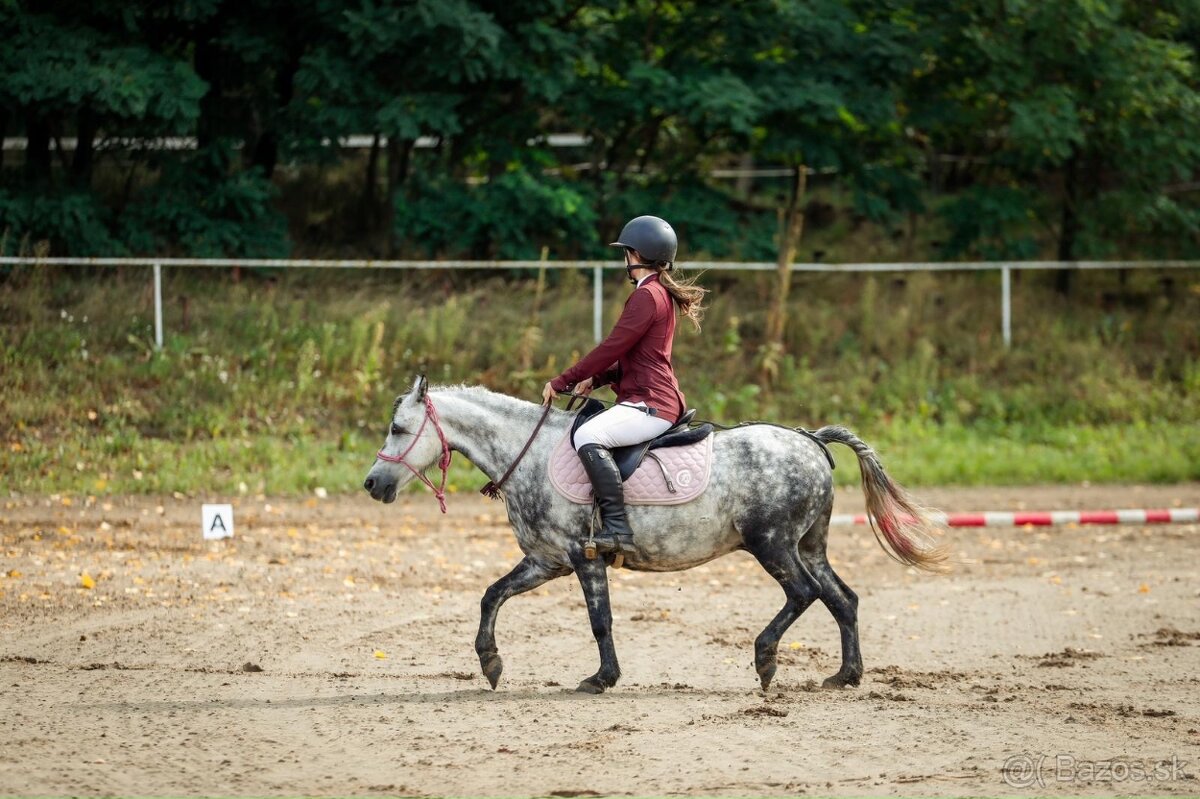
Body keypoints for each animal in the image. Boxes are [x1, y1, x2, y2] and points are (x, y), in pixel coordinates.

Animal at [363, 376, 947, 694]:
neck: (527, 453)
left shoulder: (582, 557)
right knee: (842, 599)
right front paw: (490, 663)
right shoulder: (546, 560)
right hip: (809, 544)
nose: (372, 484)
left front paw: (602, 678)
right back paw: (846, 675)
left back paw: (765, 659)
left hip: (773, 544)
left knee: (803, 594)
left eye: (396, 428)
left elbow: (600, 621)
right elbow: (491, 596)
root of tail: (810, 440)